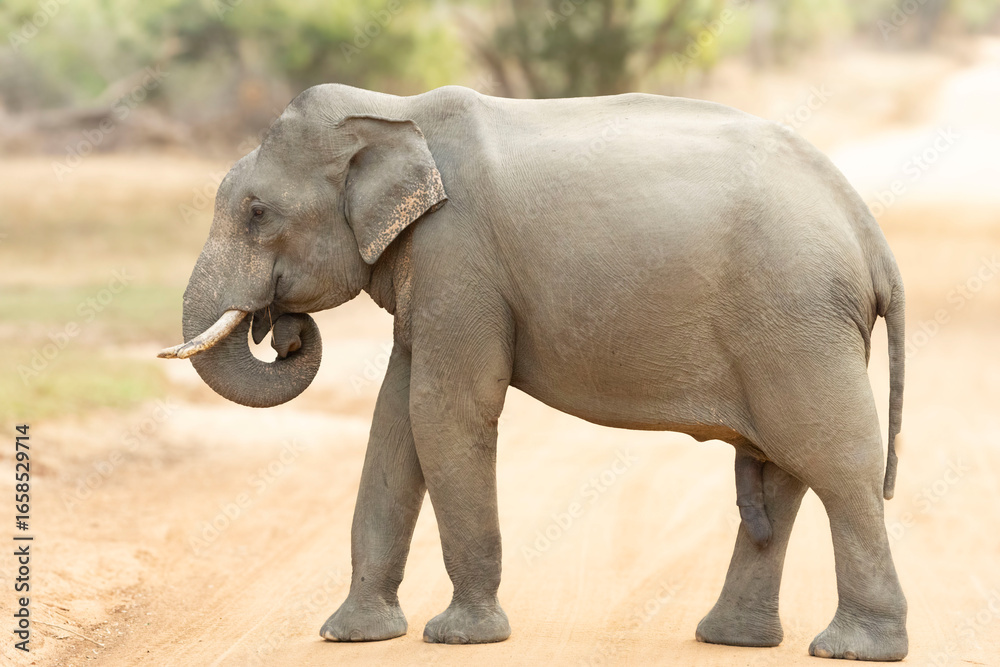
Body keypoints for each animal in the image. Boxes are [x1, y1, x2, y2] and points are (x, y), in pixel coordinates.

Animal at [159, 83, 907, 661]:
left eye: (258, 213)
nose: (283, 332)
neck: (396, 112)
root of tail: (871, 235)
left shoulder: (457, 256)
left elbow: (445, 411)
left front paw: (460, 637)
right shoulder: (430, 272)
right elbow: (395, 421)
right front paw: (352, 636)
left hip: (796, 318)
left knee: (835, 464)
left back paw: (853, 648)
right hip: (794, 327)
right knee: (784, 471)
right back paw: (733, 638)